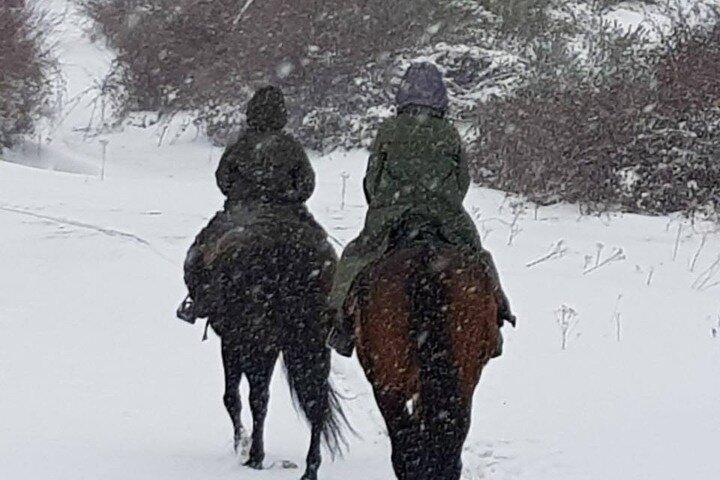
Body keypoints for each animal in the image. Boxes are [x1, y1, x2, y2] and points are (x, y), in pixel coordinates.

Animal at [186, 213, 348, 480]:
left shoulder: (233, 342)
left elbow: (232, 397)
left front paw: (241, 445)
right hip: (311, 344)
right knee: (317, 403)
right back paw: (310, 468)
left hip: (263, 344)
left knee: (259, 398)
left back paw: (255, 456)